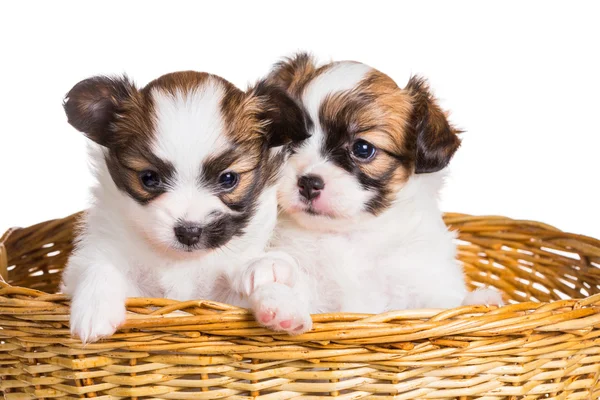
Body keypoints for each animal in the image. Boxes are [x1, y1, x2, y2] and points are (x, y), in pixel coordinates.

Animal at [59, 70, 310, 342]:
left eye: (228, 179)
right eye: (149, 178)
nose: (189, 232)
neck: (181, 261)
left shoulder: (221, 297)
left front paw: (277, 295)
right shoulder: (97, 257)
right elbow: (98, 266)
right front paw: (95, 307)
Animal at [230, 54, 502, 334]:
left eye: (362, 148)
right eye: (293, 142)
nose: (308, 183)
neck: (352, 237)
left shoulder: (423, 283)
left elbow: (444, 306)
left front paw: (480, 302)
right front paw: (276, 292)